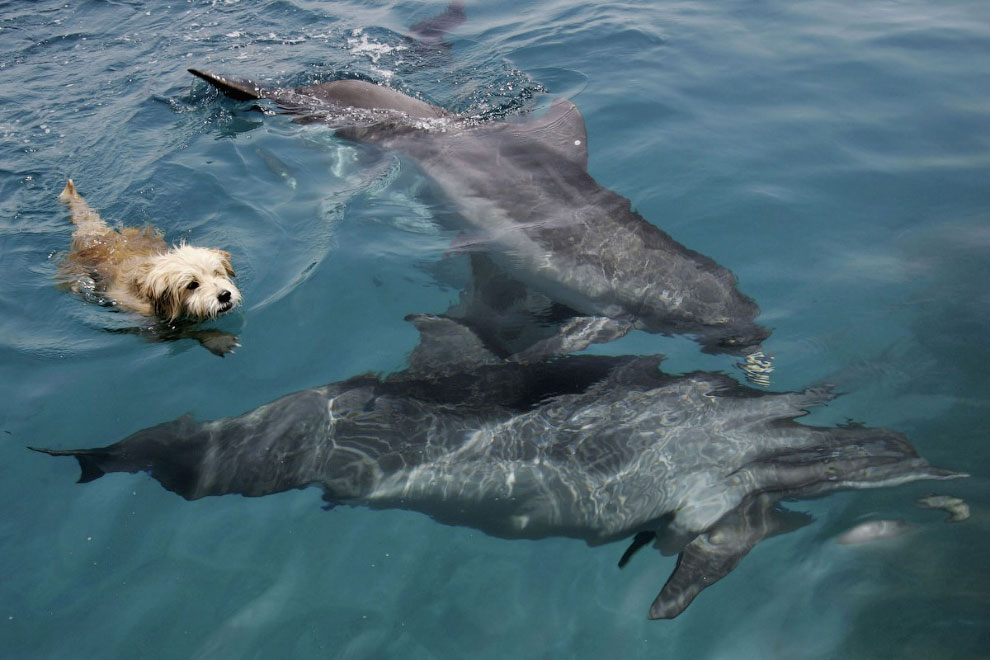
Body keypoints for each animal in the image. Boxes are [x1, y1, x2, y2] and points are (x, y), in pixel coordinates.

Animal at [59, 179, 243, 356]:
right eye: (192, 285)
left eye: (217, 273)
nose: (225, 295)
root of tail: (99, 236)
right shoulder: (152, 326)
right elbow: (187, 332)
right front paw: (216, 339)